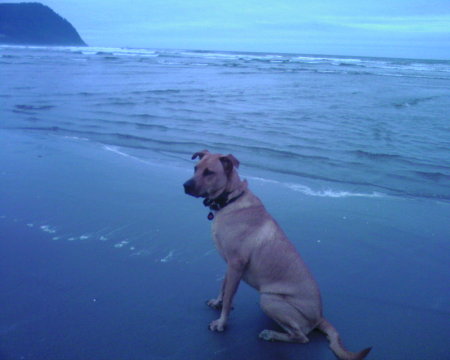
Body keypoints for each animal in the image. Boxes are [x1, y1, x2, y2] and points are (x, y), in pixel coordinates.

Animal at [183, 150, 372, 360]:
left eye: (209, 172)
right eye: (196, 168)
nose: (185, 186)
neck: (231, 199)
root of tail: (320, 316)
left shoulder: (236, 264)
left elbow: (229, 296)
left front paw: (221, 323)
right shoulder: (230, 265)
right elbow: (223, 287)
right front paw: (218, 302)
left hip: (269, 300)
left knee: (302, 337)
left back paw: (271, 334)